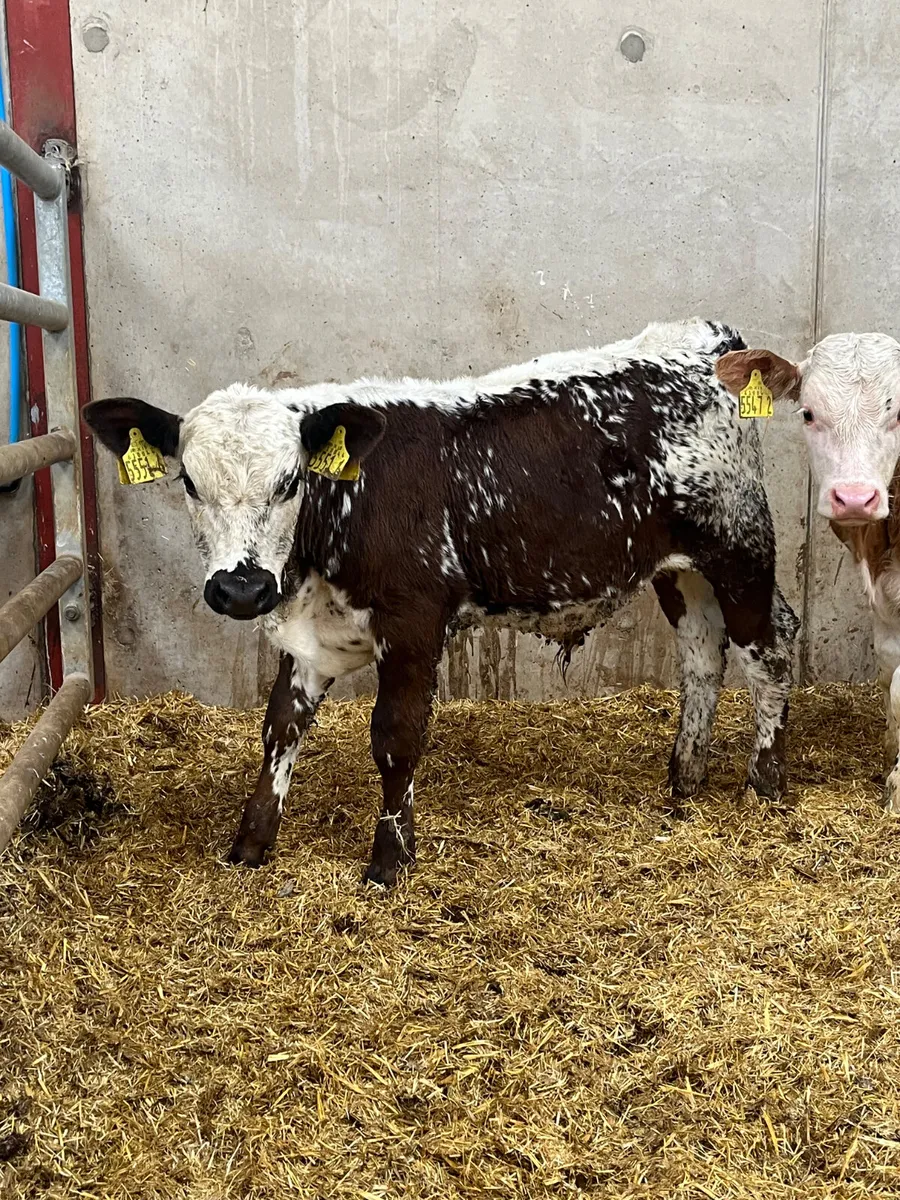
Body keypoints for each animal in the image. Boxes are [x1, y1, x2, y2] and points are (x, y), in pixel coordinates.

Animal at [83, 317, 799, 885]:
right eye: (187, 481)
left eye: (289, 481)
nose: (241, 588)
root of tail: (708, 339)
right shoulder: (311, 634)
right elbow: (279, 726)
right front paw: (251, 843)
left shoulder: (414, 621)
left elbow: (395, 737)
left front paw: (389, 861)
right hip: (678, 571)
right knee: (702, 655)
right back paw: (684, 779)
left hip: (739, 547)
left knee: (770, 646)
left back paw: (764, 782)